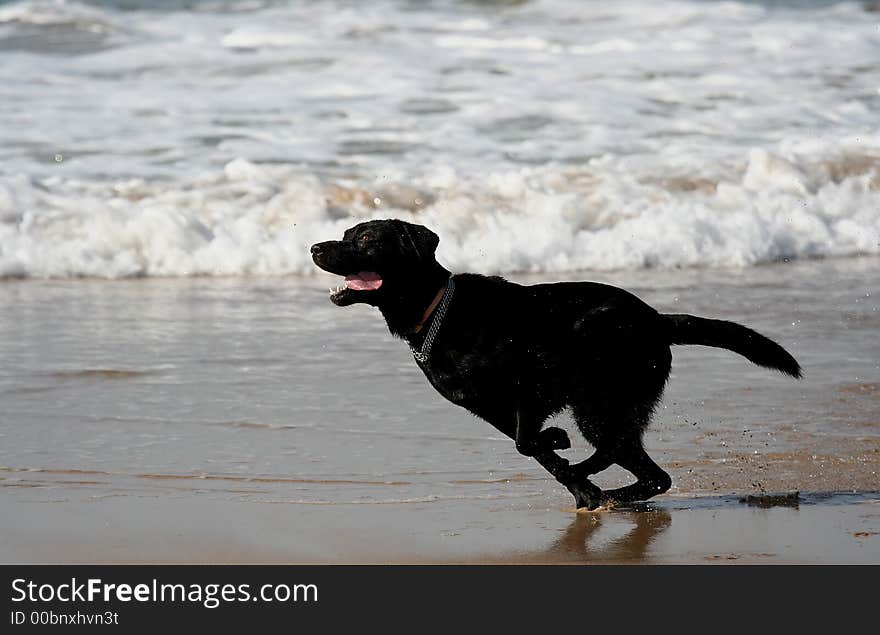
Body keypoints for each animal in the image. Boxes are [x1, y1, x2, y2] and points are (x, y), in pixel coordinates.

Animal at [312, 221, 800, 510]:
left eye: (366, 239)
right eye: (345, 233)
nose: (315, 246)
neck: (438, 313)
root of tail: (656, 320)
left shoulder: (534, 386)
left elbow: (528, 442)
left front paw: (568, 461)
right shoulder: (488, 407)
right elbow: (530, 446)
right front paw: (576, 480)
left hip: (598, 399)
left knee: (620, 452)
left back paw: (595, 477)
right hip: (611, 405)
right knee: (650, 472)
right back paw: (611, 491)